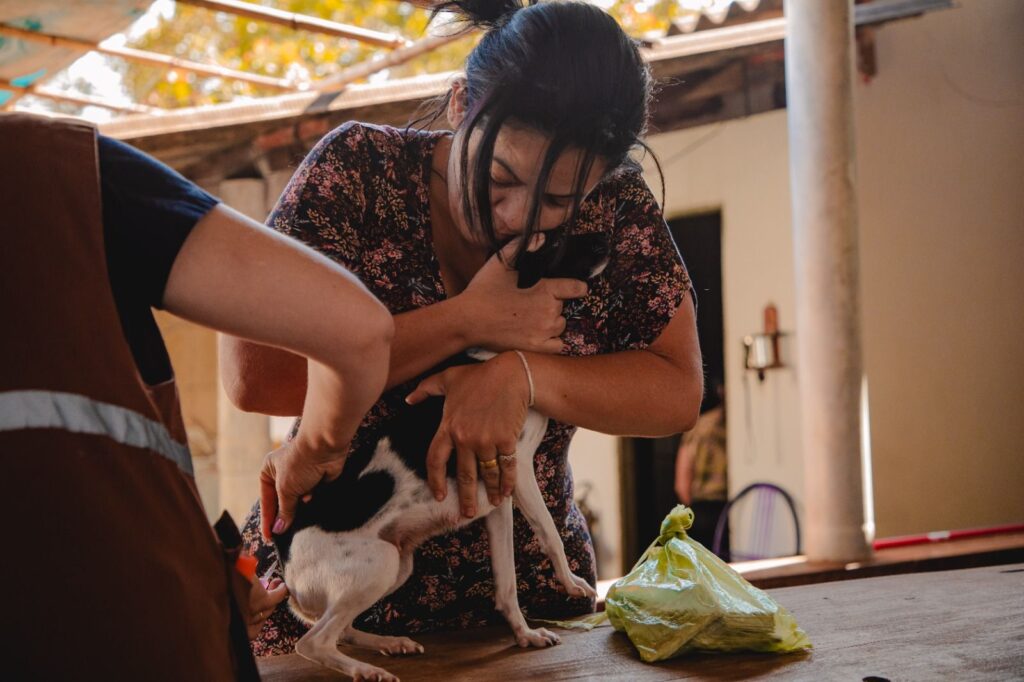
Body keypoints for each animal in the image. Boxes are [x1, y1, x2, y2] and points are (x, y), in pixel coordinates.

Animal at [272, 231, 606, 675]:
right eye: (557, 241)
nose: (607, 238)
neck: (494, 352)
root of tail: (286, 551)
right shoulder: (518, 469)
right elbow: (550, 533)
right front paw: (571, 584)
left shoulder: (496, 498)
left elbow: (506, 584)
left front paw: (524, 635)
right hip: (378, 564)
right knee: (313, 642)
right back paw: (366, 669)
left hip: (397, 565)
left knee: (342, 630)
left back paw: (388, 643)